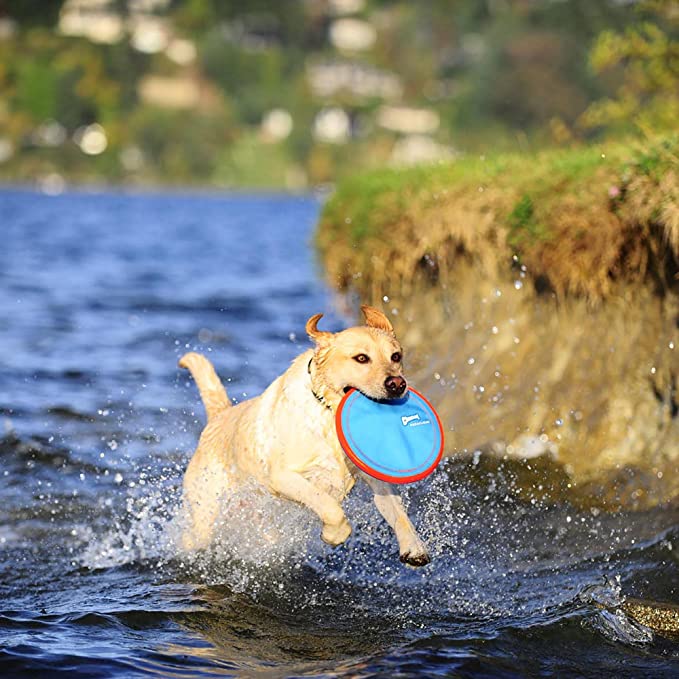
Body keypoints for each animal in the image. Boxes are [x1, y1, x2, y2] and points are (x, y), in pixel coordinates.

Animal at [181, 306, 430, 564]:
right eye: (361, 358)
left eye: (396, 357)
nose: (397, 384)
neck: (329, 414)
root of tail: (219, 415)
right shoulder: (282, 477)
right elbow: (329, 506)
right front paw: (334, 534)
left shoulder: (379, 480)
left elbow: (399, 514)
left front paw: (414, 547)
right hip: (205, 514)